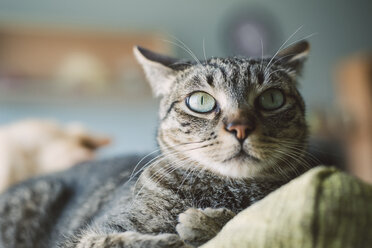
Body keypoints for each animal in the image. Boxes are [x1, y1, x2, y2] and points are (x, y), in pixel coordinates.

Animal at [0, 39, 310, 247]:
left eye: (272, 99)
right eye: (201, 101)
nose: (240, 127)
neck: (224, 190)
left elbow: (241, 217)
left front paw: (204, 221)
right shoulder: (90, 235)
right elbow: (120, 240)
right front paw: (183, 231)